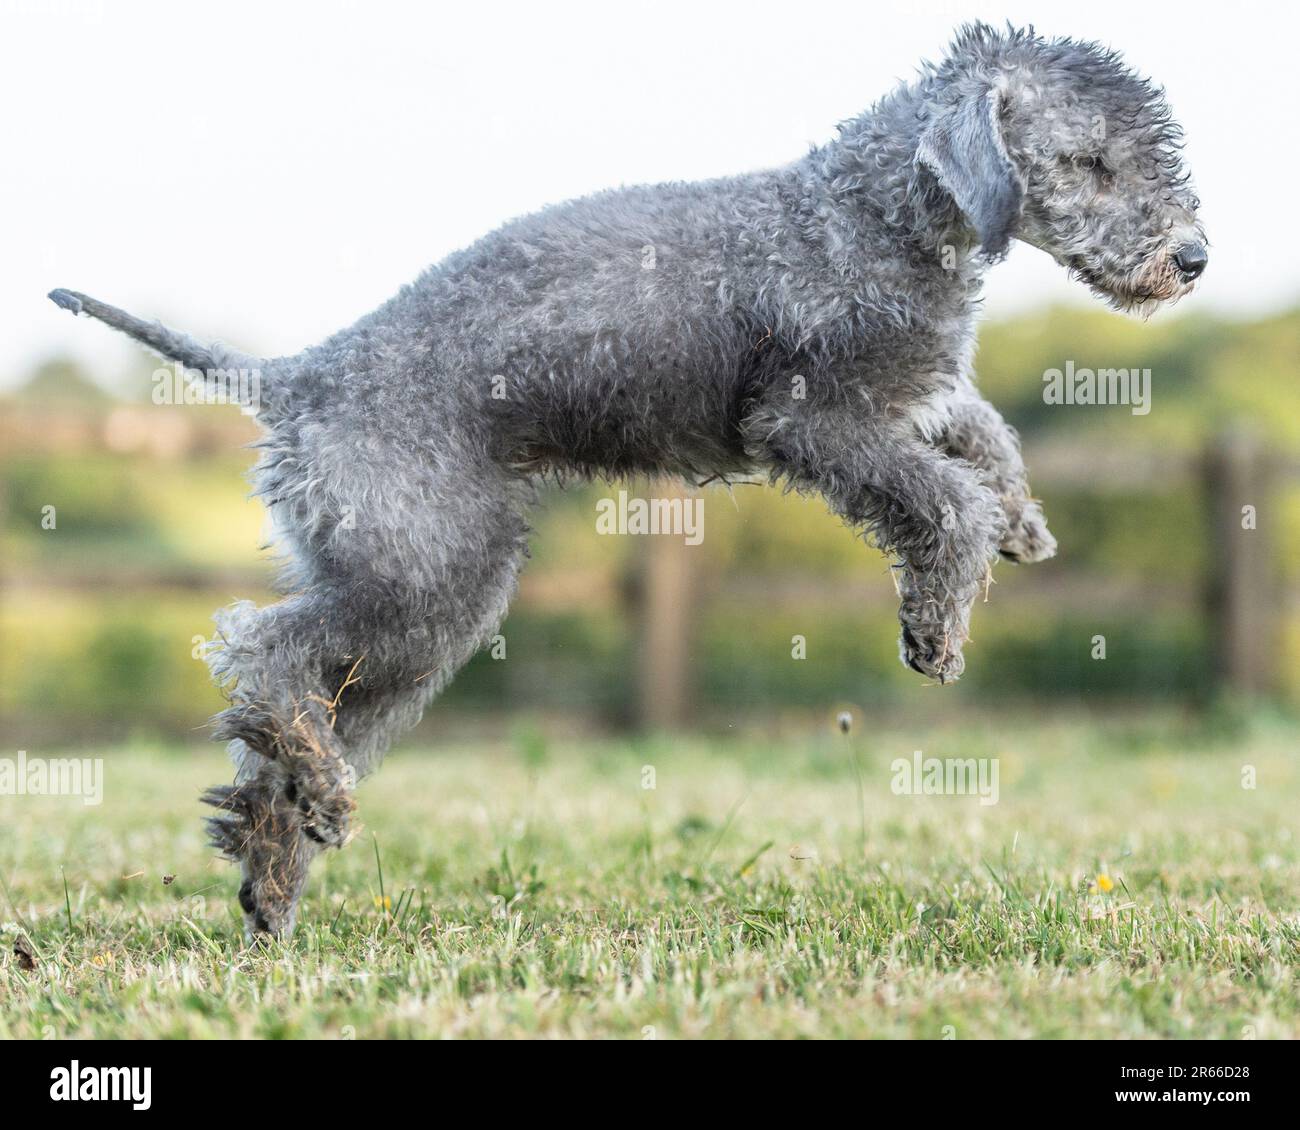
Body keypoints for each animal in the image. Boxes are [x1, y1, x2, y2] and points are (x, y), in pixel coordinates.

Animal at [50, 22, 1206, 936]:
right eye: (1090, 161)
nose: (1191, 257)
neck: (869, 215)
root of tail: (299, 374)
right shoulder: (817, 419)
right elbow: (941, 499)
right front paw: (939, 625)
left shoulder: (912, 393)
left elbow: (981, 432)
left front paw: (1025, 526)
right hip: (423, 570)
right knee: (260, 651)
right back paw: (320, 799)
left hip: (413, 601)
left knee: (271, 738)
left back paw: (273, 877)